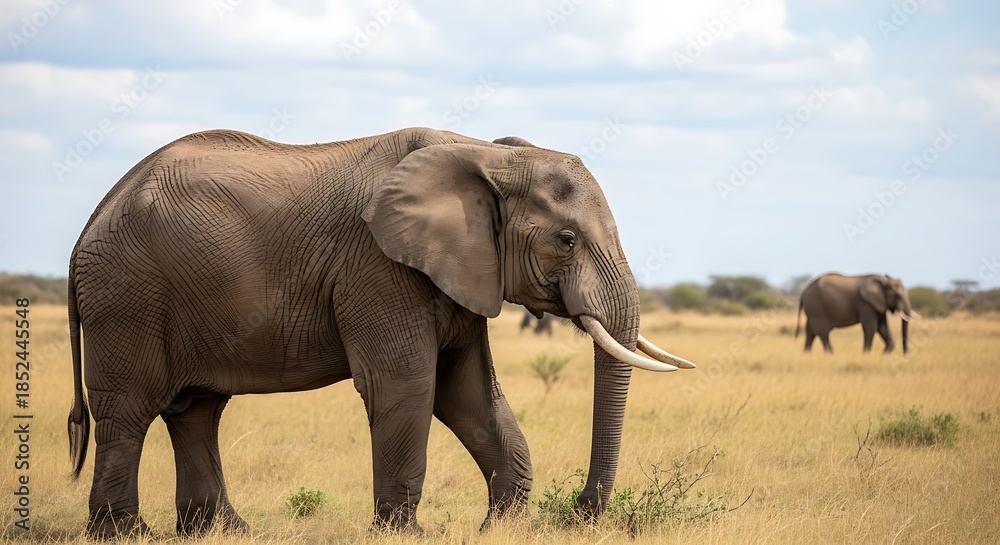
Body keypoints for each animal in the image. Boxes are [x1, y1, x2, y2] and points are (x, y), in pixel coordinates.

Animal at [65, 127, 697, 538]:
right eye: (566, 240)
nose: (581, 511)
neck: (487, 155)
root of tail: (92, 219)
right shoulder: (378, 265)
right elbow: (408, 386)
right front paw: (405, 534)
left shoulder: (459, 271)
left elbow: (469, 394)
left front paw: (503, 526)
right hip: (126, 296)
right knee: (130, 410)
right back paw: (126, 534)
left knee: (196, 410)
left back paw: (223, 531)